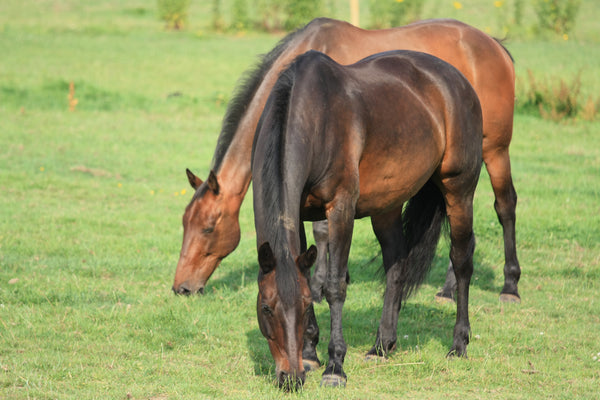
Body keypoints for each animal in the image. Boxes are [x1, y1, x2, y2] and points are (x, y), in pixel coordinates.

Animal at [173, 16, 520, 304]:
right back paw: (448, 289)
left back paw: (509, 286)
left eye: (208, 227)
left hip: (494, 151)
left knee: (504, 206)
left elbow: (321, 231)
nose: (182, 287)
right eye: (184, 223)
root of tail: (495, 45)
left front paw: (317, 287)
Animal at [252, 48, 482, 390]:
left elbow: (335, 287)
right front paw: (310, 354)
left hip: (459, 191)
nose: (291, 378)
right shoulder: (299, 214)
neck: (314, 116)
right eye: (266, 307)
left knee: (462, 259)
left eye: (305, 305)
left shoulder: (341, 209)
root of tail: (460, 82)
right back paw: (382, 345)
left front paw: (335, 366)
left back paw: (458, 344)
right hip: (387, 205)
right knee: (396, 263)